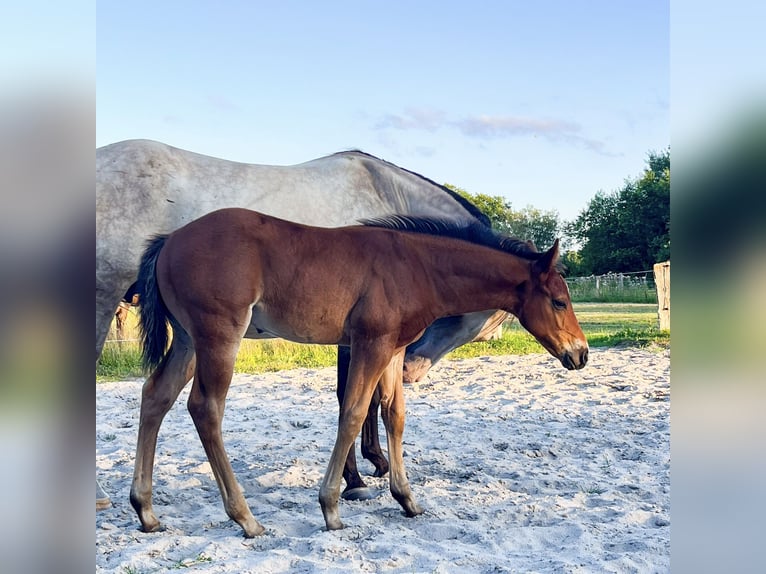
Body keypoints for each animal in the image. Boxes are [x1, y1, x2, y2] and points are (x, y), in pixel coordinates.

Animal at [96, 139, 508, 501]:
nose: (409, 369)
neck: (386, 195)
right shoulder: (362, 336)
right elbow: (351, 400)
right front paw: (355, 480)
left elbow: (369, 399)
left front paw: (375, 461)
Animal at [131, 208, 588, 536]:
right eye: (559, 301)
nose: (581, 354)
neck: (417, 266)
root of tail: (169, 241)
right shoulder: (371, 343)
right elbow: (353, 412)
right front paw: (331, 506)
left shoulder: (394, 348)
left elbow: (393, 414)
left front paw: (406, 498)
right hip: (219, 337)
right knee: (206, 408)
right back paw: (245, 518)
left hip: (189, 340)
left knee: (156, 396)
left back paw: (146, 511)